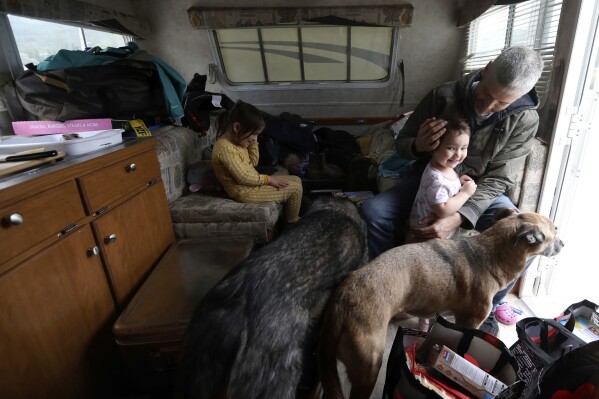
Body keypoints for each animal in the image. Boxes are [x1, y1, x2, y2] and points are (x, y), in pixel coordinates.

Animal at [318, 209, 564, 399]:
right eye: (554, 231)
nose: (563, 243)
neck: (491, 252)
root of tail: (343, 297)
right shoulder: (471, 320)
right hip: (368, 366)